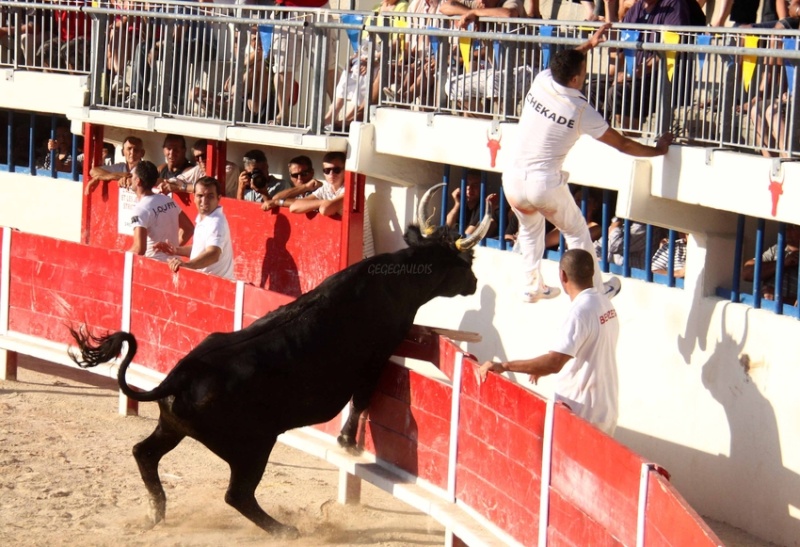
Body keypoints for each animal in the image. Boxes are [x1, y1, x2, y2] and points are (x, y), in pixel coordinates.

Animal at [69, 225, 482, 536]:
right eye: (467, 262)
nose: (475, 283)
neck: (395, 278)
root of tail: (178, 379)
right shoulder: (375, 359)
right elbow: (362, 399)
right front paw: (348, 443)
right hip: (253, 445)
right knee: (237, 494)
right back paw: (285, 530)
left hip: (172, 426)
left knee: (145, 453)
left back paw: (156, 514)